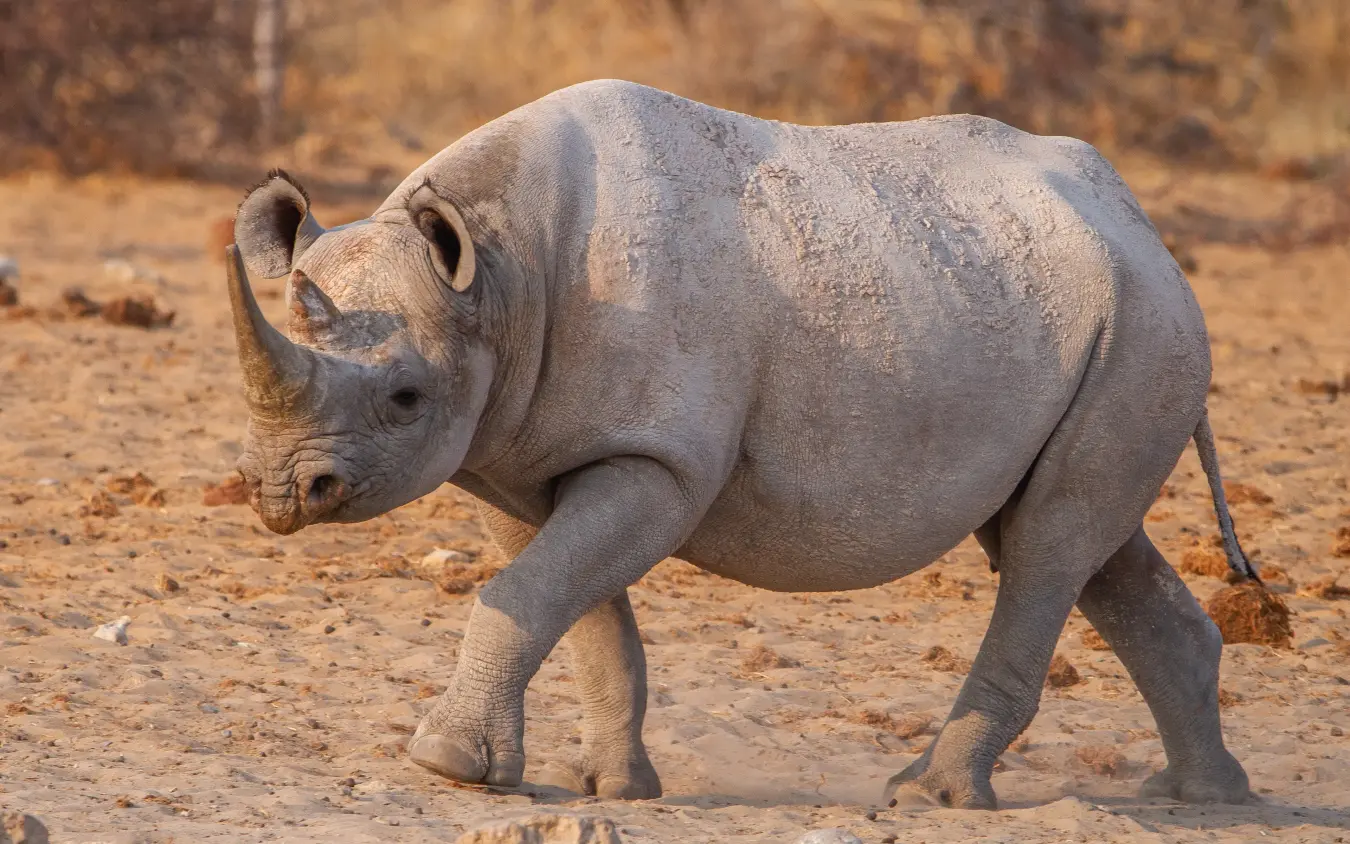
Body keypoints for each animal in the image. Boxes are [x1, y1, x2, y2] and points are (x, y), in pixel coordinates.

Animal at [226, 79, 1256, 809]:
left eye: (405, 397)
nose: (281, 493)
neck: (500, 273)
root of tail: (1142, 227)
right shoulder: (516, 459)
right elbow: (572, 609)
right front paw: (610, 789)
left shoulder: (661, 458)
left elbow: (525, 597)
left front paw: (445, 766)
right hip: (1079, 314)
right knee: (1080, 541)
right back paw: (1202, 797)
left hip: (1144, 327)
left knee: (1048, 546)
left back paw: (926, 797)